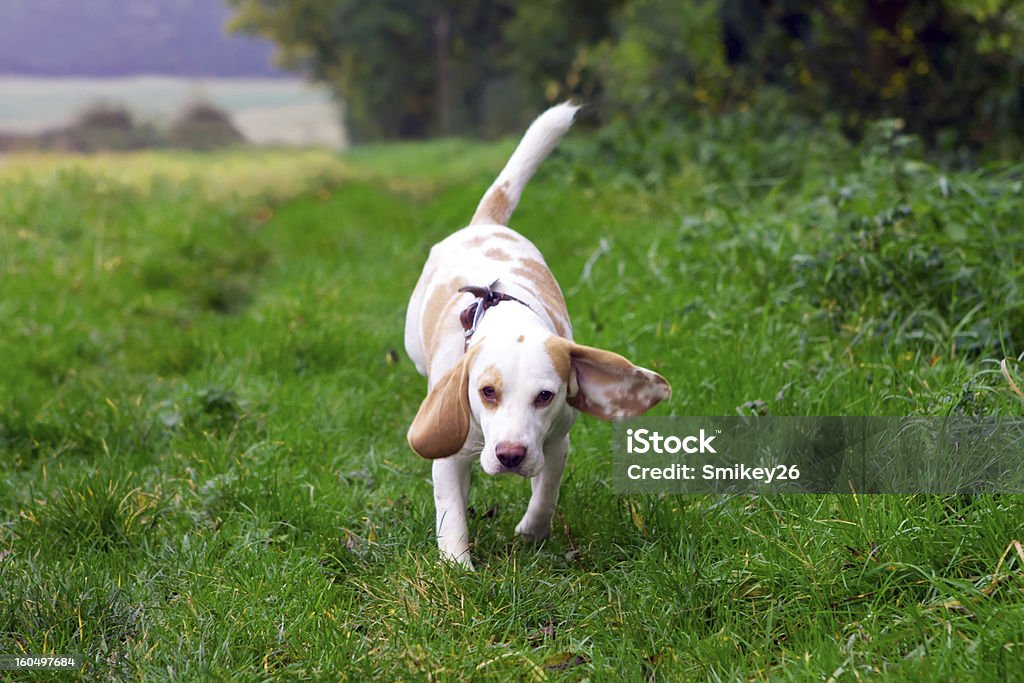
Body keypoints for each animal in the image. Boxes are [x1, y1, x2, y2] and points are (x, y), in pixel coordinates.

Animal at [407, 101, 671, 569]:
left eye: (545, 396)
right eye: (487, 392)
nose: (510, 456)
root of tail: (485, 224)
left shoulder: (557, 441)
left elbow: (545, 492)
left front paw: (532, 531)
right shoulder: (450, 453)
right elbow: (451, 511)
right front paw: (458, 568)